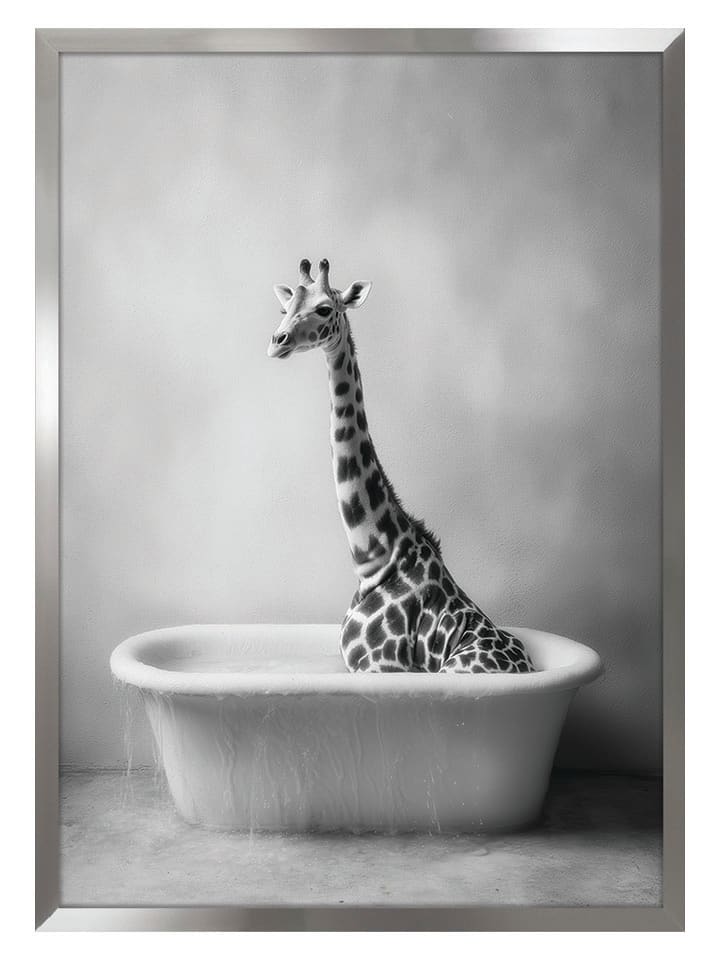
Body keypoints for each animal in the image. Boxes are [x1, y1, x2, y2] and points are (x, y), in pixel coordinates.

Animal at [268, 259, 535, 674]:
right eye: (285, 307)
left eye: (324, 309)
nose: (278, 341)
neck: (375, 561)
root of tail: (528, 665)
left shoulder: (381, 667)